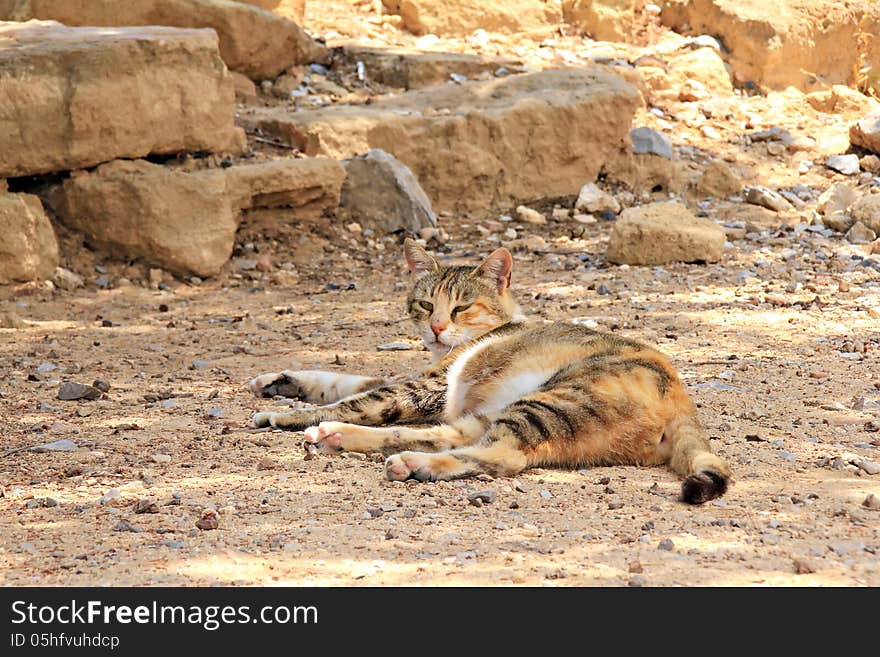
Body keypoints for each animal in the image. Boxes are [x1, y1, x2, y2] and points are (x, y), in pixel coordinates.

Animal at [251, 238, 732, 504]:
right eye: (425, 303)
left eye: (461, 307)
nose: (436, 327)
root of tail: (683, 402)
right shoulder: (426, 383)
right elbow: (341, 381)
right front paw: (277, 383)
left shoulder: (424, 387)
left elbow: (358, 398)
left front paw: (288, 414)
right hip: (498, 410)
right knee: (446, 436)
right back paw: (341, 438)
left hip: (550, 400)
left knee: (500, 456)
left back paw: (410, 465)